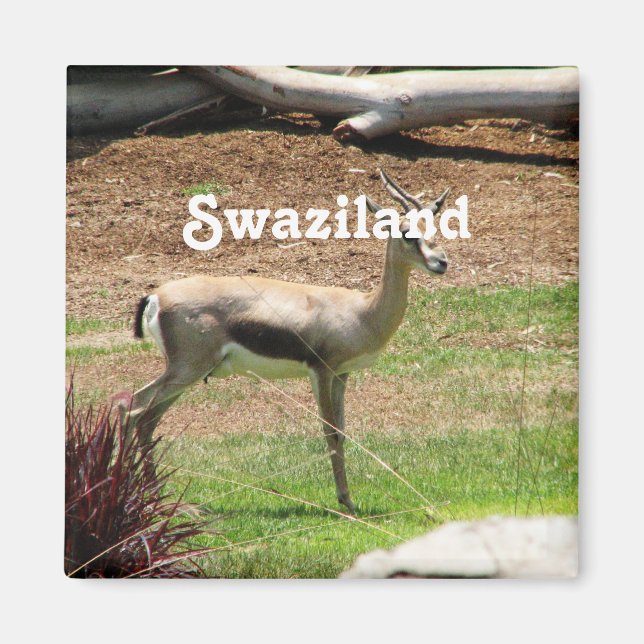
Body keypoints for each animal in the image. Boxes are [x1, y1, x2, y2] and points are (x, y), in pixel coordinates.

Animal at [123, 169, 450, 514]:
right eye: (407, 233)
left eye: (435, 228)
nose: (441, 262)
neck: (362, 311)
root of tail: (156, 296)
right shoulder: (320, 371)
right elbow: (330, 432)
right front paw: (346, 502)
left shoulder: (342, 374)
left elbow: (343, 432)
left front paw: (348, 499)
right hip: (187, 370)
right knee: (133, 411)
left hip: (188, 374)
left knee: (145, 418)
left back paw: (155, 500)